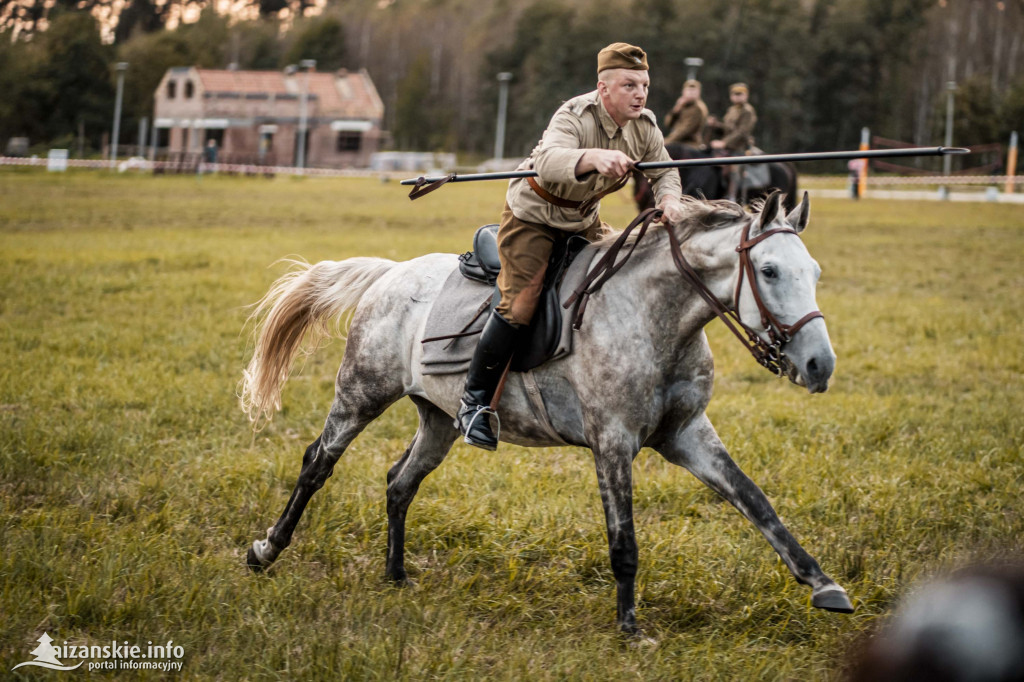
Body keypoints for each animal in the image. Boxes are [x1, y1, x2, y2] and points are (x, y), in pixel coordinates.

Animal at [241, 189, 856, 630]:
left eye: (816, 273)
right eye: (770, 271)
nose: (819, 364)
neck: (653, 317)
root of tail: (390, 273)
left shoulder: (687, 435)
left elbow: (756, 502)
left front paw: (823, 583)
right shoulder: (613, 442)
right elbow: (624, 540)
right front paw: (629, 626)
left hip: (438, 418)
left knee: (399, 482)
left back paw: (395, 575)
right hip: (360, 394)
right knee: (317, 463)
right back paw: (266, 550)